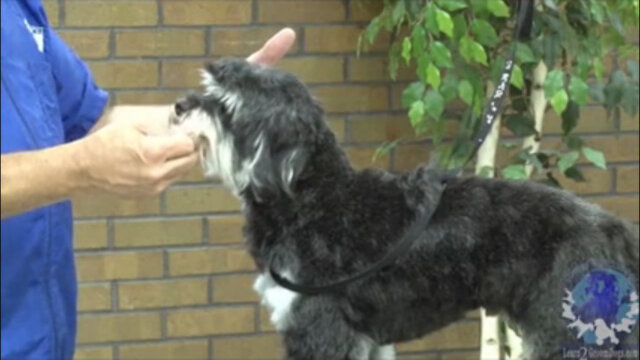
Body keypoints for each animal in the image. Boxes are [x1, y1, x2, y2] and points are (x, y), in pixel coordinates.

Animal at [170, 58, 640, 360]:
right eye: (210, 91)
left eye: (227, 105)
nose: (179, 106)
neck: (315, 202)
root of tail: (612, 226)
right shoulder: (366, 337)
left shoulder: (321, 328)